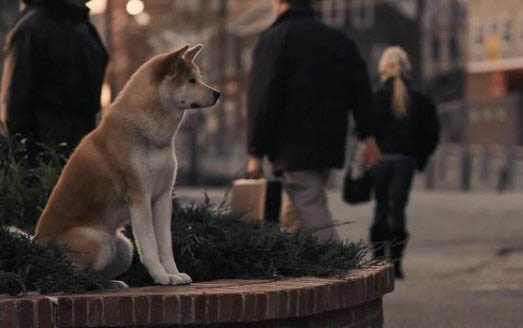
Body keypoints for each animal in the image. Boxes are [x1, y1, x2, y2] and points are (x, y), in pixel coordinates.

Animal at [34, 44, 219, 286]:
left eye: (198, 78)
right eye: (191, 81)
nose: (218, 93)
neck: (150, 137)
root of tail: (37, 243)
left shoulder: (162, 197)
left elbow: (165, 246)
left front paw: (174, 274)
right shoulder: (139, 197)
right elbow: (150, 247)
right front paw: (162, 277)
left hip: (123, 248)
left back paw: (112, 284)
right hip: (98, 241)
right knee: (76, 275)